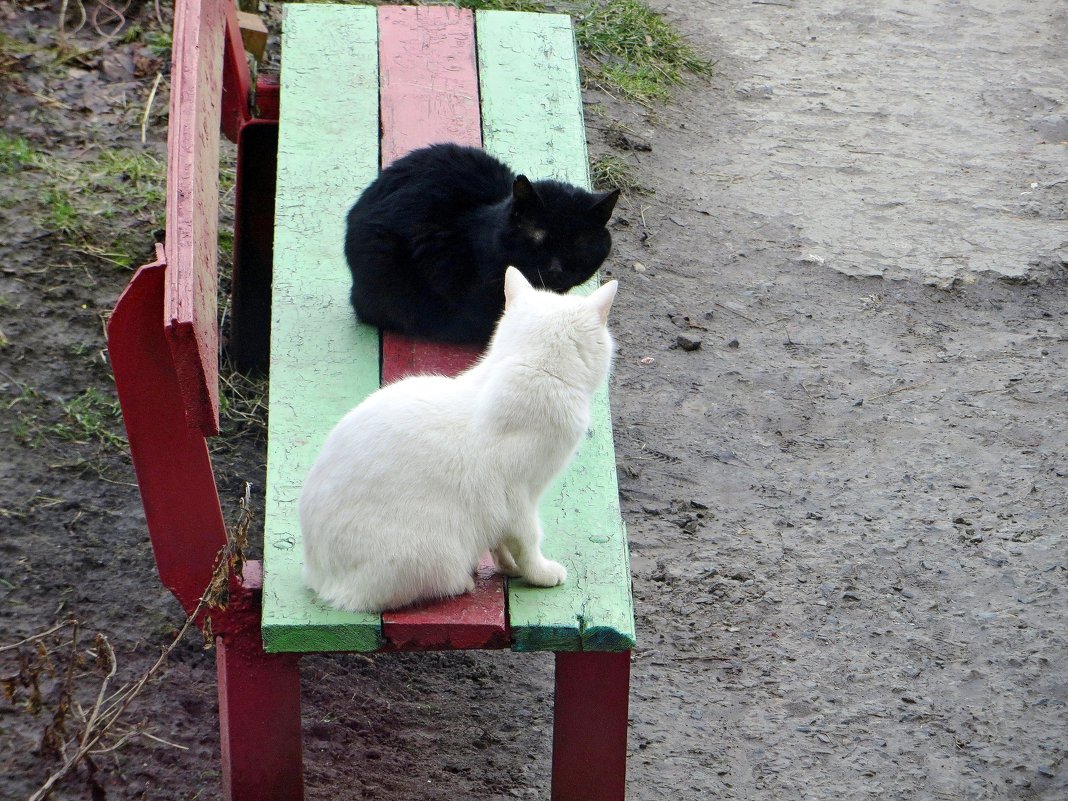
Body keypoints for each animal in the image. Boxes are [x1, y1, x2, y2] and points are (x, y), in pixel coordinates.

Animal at [301, 267, 619, 610]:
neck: (533, 368)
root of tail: (321, 582)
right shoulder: (519, 498)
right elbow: (528, 540)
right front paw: (541, 574)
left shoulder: (504, 509)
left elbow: (501, 543)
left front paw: (509, 568)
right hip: (434, 551)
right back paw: (463, 583)